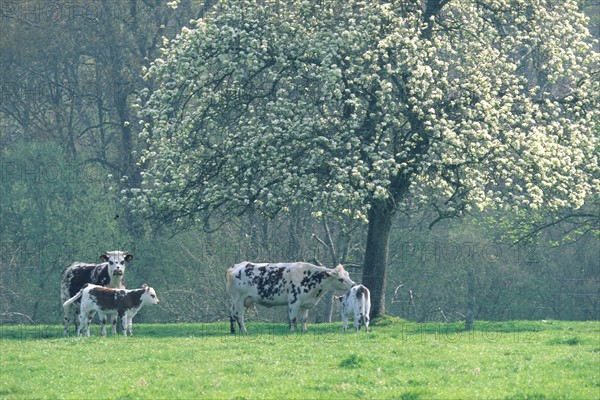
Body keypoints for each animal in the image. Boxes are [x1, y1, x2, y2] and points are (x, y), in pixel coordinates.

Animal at [225, 262, 356, 334]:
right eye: (340, 279)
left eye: (348, 275)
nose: (353, 284)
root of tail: (236, 266)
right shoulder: (294, 301)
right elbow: (293, 318)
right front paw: (292, 331)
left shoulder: (305, 304)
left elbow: (304, 319)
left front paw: (304, 331)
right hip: (239, 299)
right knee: (239, 315)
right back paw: (244, 331)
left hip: (236, 300)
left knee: (232, 313)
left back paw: (233, 331)